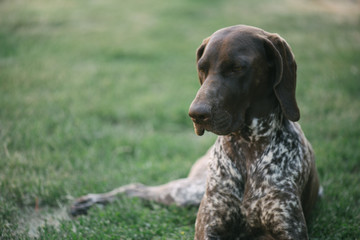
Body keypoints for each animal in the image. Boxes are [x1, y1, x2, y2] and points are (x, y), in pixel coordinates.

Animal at [71, 24, 320, 240]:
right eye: (202, 68)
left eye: (237, 68)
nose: (196, 114)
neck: (248, 146)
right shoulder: (208, 227)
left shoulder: (289, 228)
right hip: (186, 192)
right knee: (137, 188)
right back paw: (89, 202)